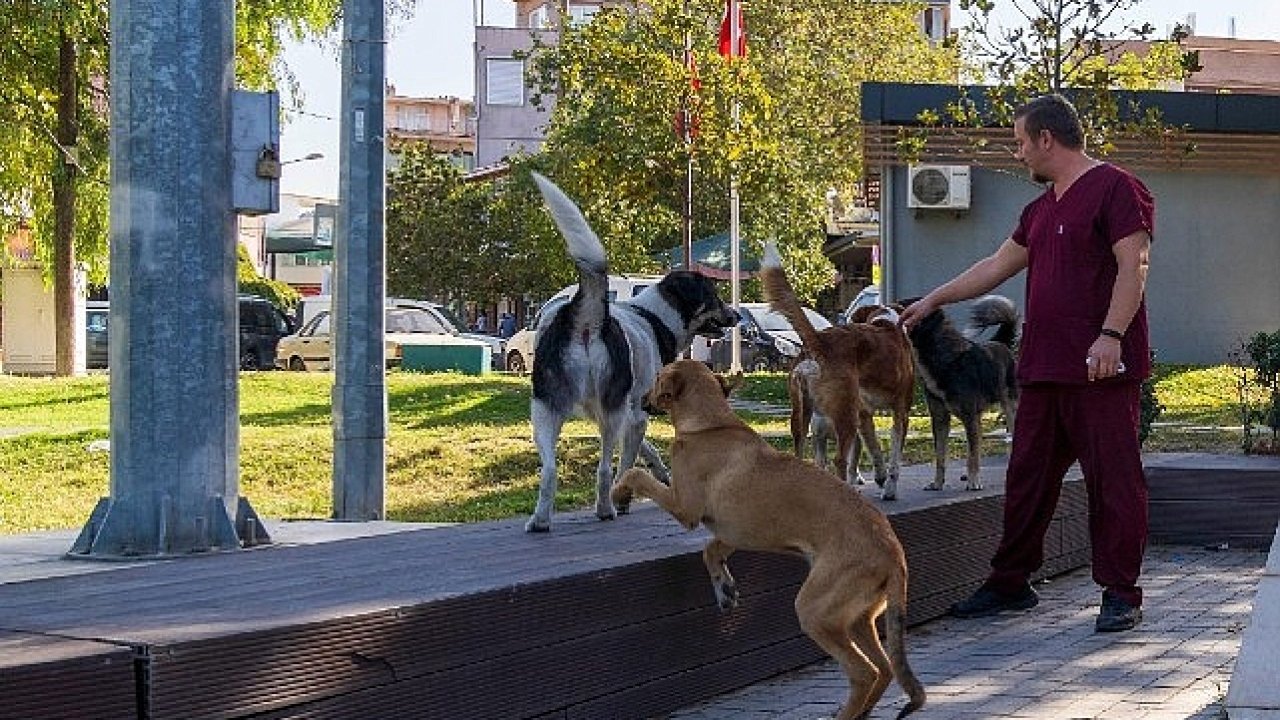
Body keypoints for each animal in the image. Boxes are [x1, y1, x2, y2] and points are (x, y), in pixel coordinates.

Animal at [522, 174, 742, 530]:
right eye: (714, 297)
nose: (738, 316)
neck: (654, 317)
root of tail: (586, 318)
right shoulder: (634, 413)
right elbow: (626, 464)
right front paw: (623, 498)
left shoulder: (626, 413)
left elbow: (646, 449)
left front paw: (660, 473)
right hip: (606, 416)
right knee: (602, 470)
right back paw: (605, 509)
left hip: (544, 410)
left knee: (550, 470)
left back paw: (541, 520)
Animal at [614, 358, 926, 717]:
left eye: (656, 378)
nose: (640, 400)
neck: (711, 424)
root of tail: (893, 552)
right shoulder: (735, 529)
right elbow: (711, 551)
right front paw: (725, 589)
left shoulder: (685, 507)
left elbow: (636, 474)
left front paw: (618, 494)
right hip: (859, 618)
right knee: (885, 668)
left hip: (816, 610)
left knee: (865, 672)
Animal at [752, 243, 916, 497]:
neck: (886, 323)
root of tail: (818, 341)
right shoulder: (901, 410)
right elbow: (894, 458)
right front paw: (889, 488)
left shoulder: (864, 414)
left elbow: (875, 446)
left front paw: (880, 476)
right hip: (845, 413)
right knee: (839, 459)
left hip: (802, 413)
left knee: (801, 454)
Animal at [911, 294, 1018, 489]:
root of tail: (1000, 342)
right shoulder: (939, 420)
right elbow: (940, 456)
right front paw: (937, 483)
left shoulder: (970, 417)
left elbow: (973, 455)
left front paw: (974, 481)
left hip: (1010, 407)